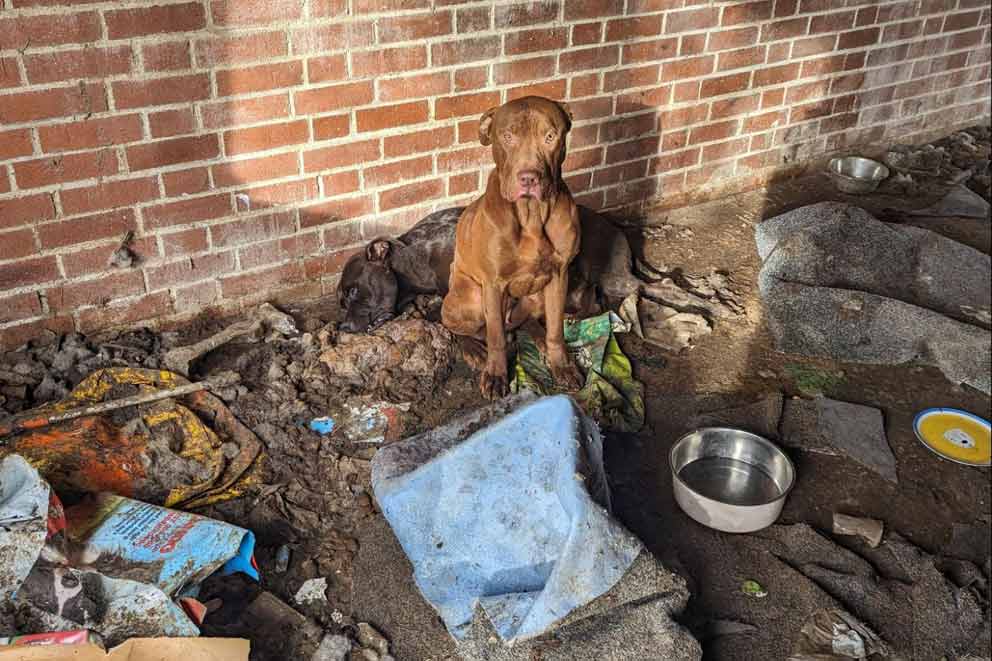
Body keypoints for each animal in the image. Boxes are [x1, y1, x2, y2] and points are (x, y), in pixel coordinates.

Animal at [440, 96, 580, 400]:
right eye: (507, 137)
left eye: (550, 137)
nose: (529, 178)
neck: (531, 214)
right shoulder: (493, 284)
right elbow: (495, 338)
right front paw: (496, 375)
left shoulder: (560, 274)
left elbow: (556, 329)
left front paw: (561, 365)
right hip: (472, 296)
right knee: (457, 326)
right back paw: (472, 349)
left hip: (537, 296)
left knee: (523, 322)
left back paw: (537, 338)